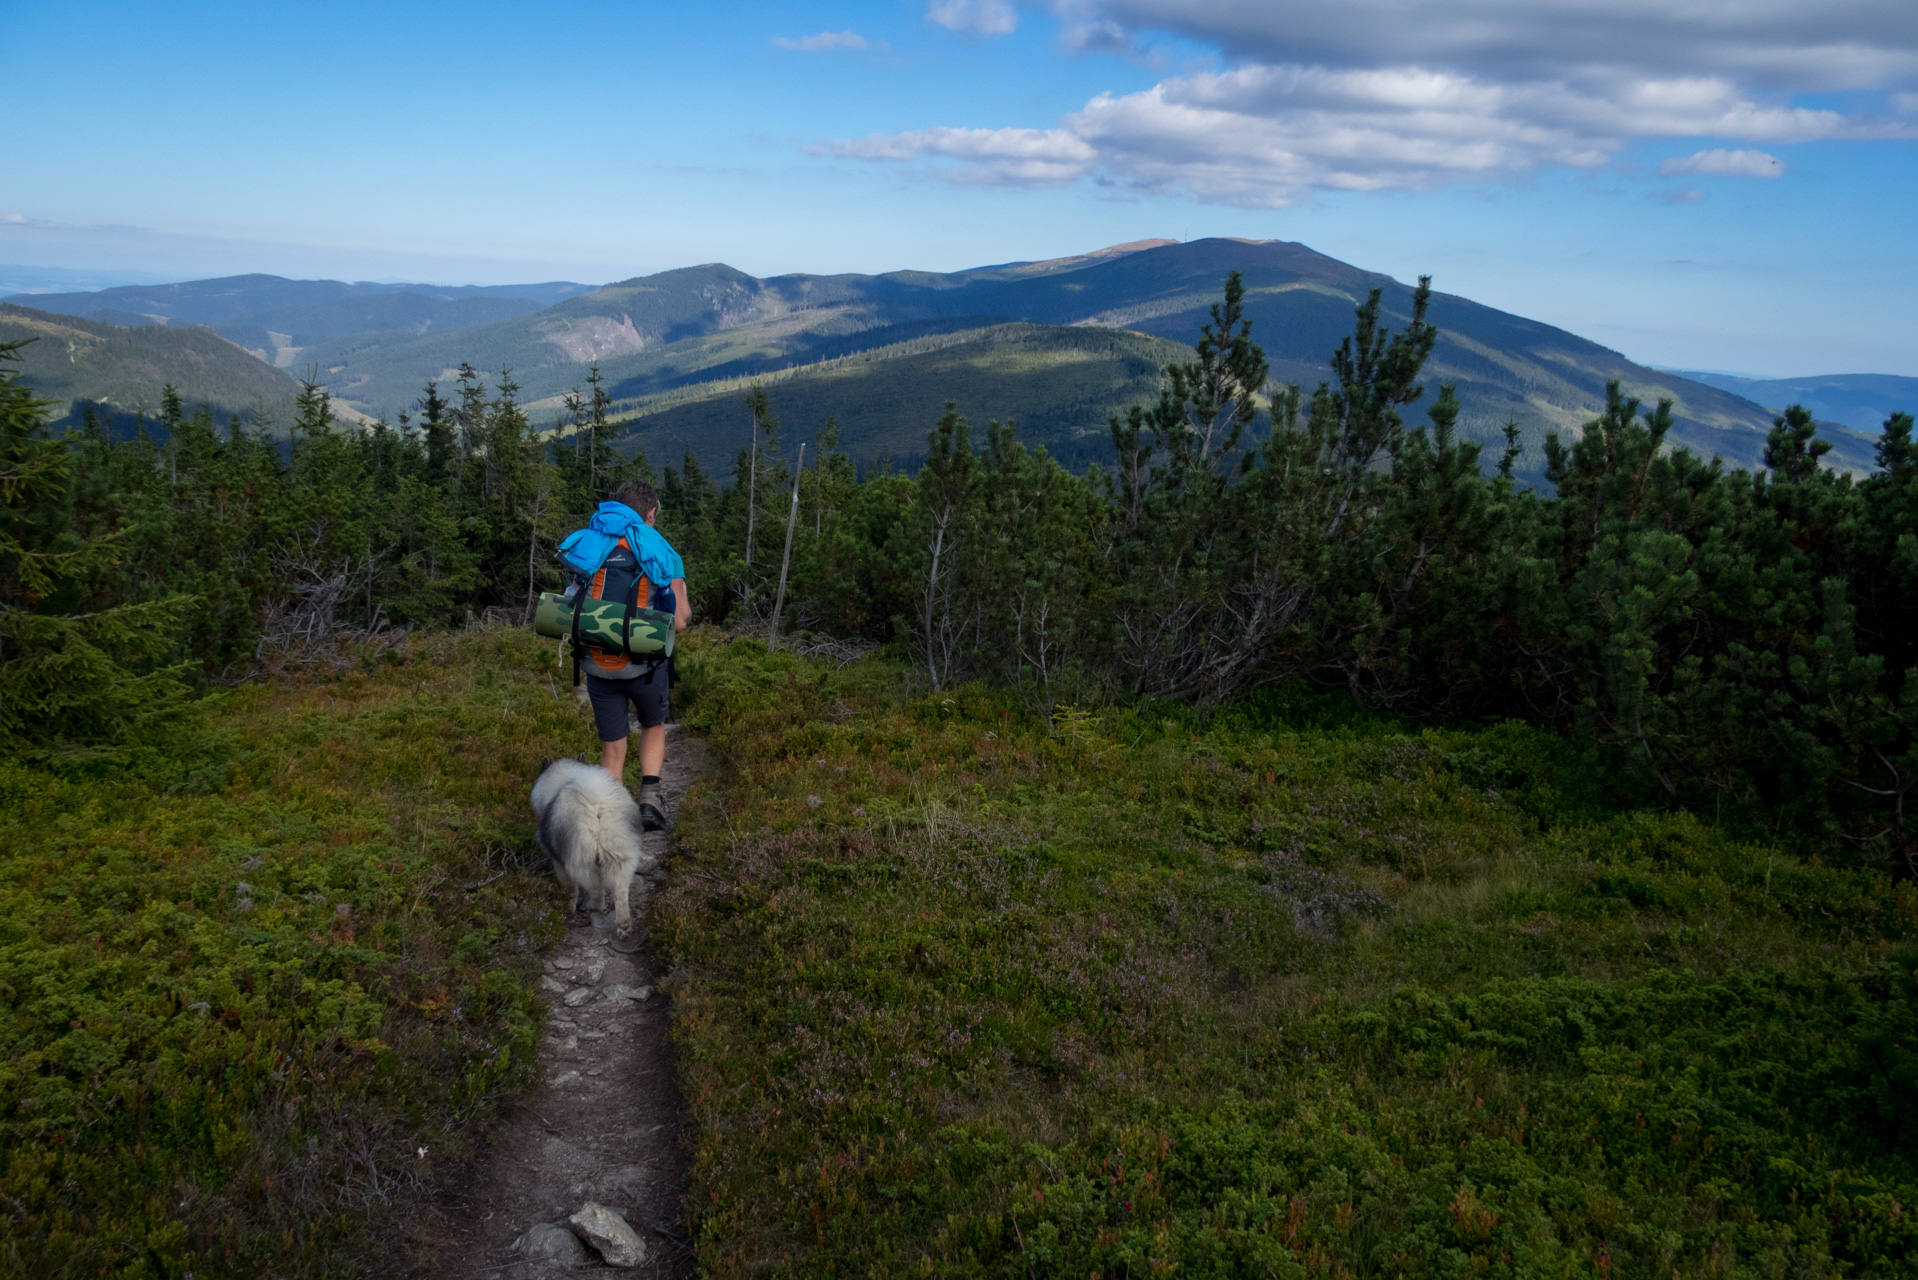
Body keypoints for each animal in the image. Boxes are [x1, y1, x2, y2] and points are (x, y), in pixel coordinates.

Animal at [529, 759, 655, 940]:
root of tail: (597, 803)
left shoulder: (559, 863)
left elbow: (570, 887)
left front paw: (568, 907)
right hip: (620, 852)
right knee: (620, 890)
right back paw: (624, 926)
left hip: (582, 857)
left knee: (595, 888)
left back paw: (590, 907)